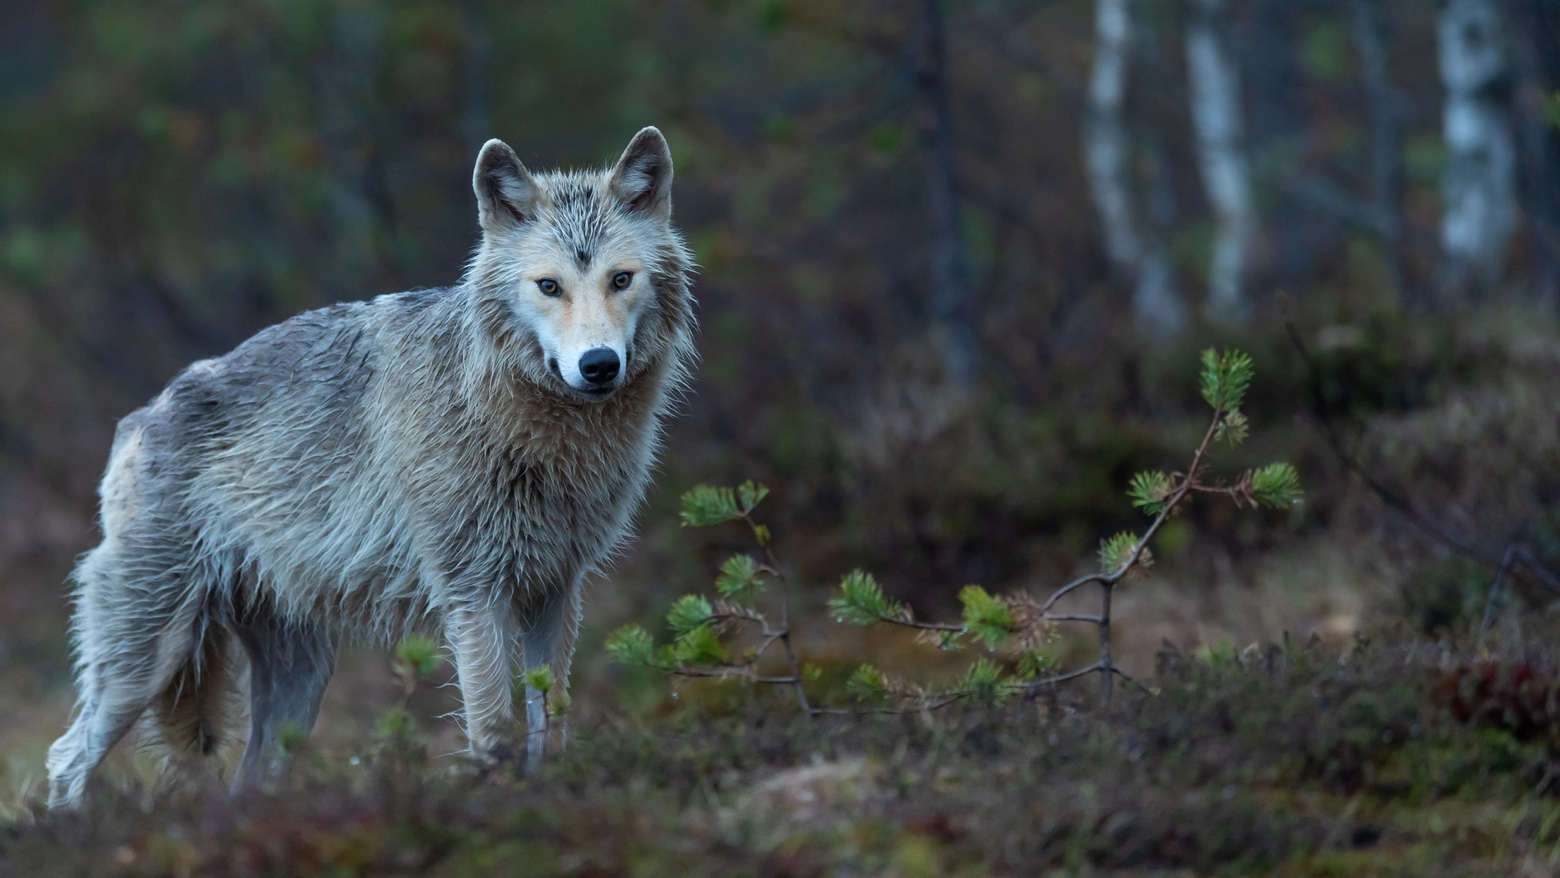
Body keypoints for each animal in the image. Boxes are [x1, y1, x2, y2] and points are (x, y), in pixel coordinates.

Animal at [42, 125, 695, 810]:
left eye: (620, 279)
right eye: (549, 286)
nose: (598, 365)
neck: (533, 432)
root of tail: (139, 417)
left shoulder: (556, 591)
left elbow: (553, 722)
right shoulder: (473, 593)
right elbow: (493, 729)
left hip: (299, 682)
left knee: (248, 777)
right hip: (147, 659)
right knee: (66, 757)